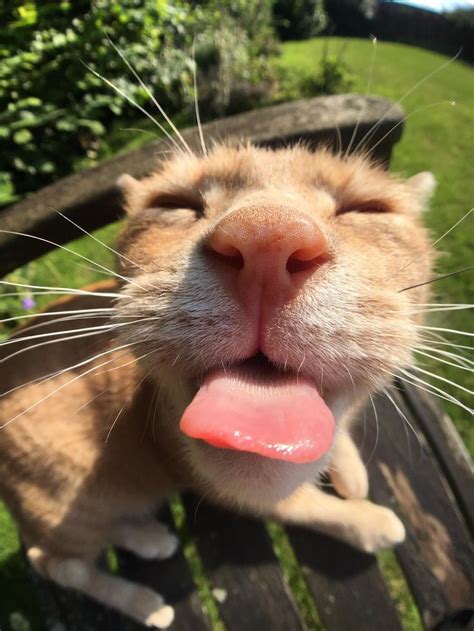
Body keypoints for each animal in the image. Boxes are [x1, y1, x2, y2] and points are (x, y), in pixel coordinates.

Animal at [0, 144, 436, 628]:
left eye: (368, 209)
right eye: (173, 203)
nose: (267, 237)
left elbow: (339, 438)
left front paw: (351, 471)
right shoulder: (234, 494)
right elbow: (315, 509)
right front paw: (369, 522)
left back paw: (147, 536)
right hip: (68, 495)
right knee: (55, 562)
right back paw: (145, 601)